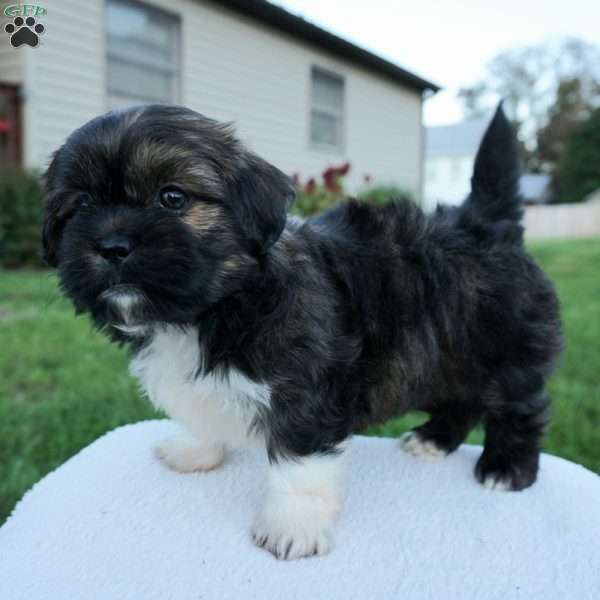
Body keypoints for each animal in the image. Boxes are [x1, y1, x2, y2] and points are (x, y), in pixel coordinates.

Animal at [42, 105, 564, 560]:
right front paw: (198, 449)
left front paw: (291, 525)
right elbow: (206, 411)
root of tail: (486, 226)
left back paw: (507, 466)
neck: (212, 307)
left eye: (173, 197)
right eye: (81, 204)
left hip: (506, 350)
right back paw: (434, 439)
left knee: (521, 406)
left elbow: (300, 463)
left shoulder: (307, 390)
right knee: (463, 399)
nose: (111, 244)